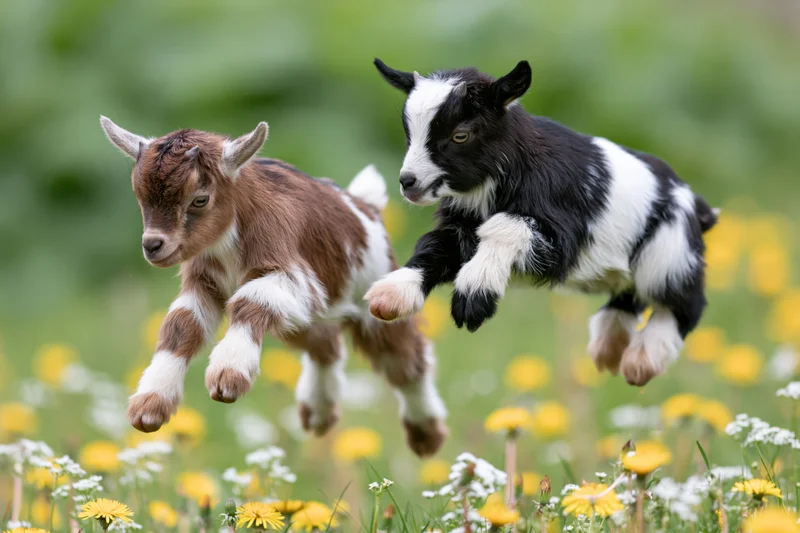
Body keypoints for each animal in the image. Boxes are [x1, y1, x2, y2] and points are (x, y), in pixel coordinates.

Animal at [100, 117, 447, 456]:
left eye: (200, 199)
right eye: (139, 196)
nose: (153, 246)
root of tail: (366, 205)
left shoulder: (293, 276)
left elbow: (248, 300)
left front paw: (228, 376)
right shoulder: (205, 283)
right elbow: (181, 325)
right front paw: (148, 407)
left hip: (373, 300)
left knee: (405, 359)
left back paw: (426, 436)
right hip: (307, 316)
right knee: (325, 344)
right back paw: (319, 413)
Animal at [365, 60, 718, 387]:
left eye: (460, 135)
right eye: (409, 134)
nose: (408, 182)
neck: (516, 167)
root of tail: (695, 202)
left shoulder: (561, 236)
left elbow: (507, 227)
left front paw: (473, 297)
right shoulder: (461, 225)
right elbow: (434, 247)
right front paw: (392, 295)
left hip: (667, 251)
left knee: (683, 302)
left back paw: (643, 358)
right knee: (629, 294)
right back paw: (610, 345)